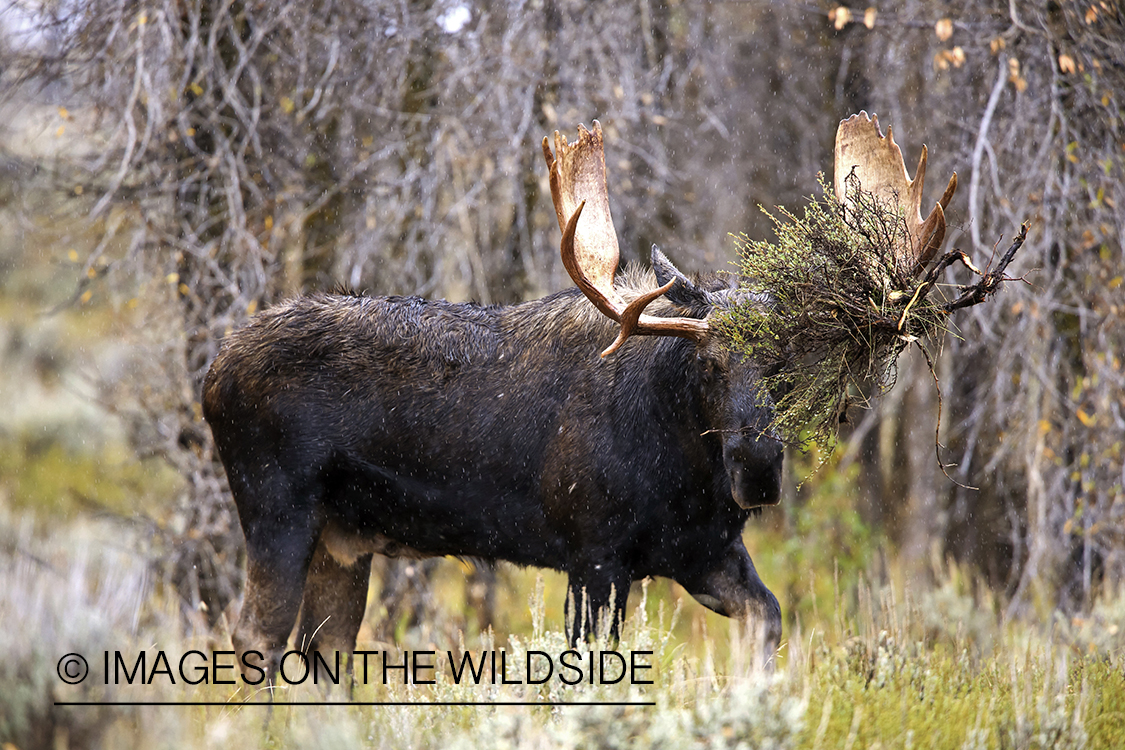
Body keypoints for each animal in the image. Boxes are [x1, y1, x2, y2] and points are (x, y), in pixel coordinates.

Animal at [203, 115, 954, 681]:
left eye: (783, 366)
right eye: (708, 362)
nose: (758, 467)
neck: (684, 475)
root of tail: (212, 371)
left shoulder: (703, 552)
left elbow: (767, 619)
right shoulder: (593, 554)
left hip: (345, 539)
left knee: (322, 652)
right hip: (276, 509)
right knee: (254, 640)